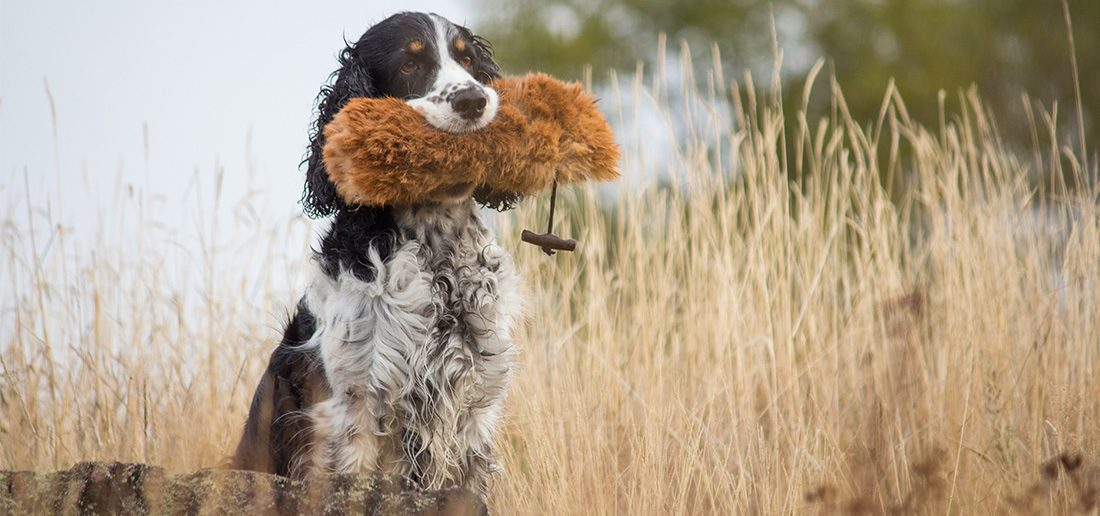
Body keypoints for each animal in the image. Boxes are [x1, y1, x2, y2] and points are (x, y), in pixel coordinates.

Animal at [231, 12, 523, 495]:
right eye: (409, 65)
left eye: (466, 60)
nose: (473, 100)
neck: (438, 256)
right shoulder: (355, 403)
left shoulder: (473, 405)